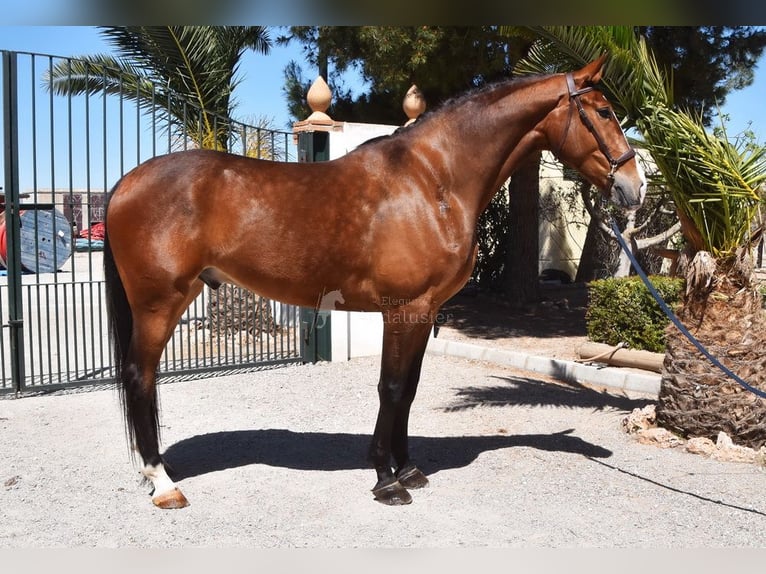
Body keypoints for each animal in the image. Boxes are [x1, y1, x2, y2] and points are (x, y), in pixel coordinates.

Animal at [105, 56, 644, 510]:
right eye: (603, 111)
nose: (634, 187)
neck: (433, 180)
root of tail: (126, 183)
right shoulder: (403, 308)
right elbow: (391, 386)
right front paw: (386, 480)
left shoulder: (425, 310)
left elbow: (409, 388)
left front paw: (406, 469)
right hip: (159, 304)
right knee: (139, 376)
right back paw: (163, 483)